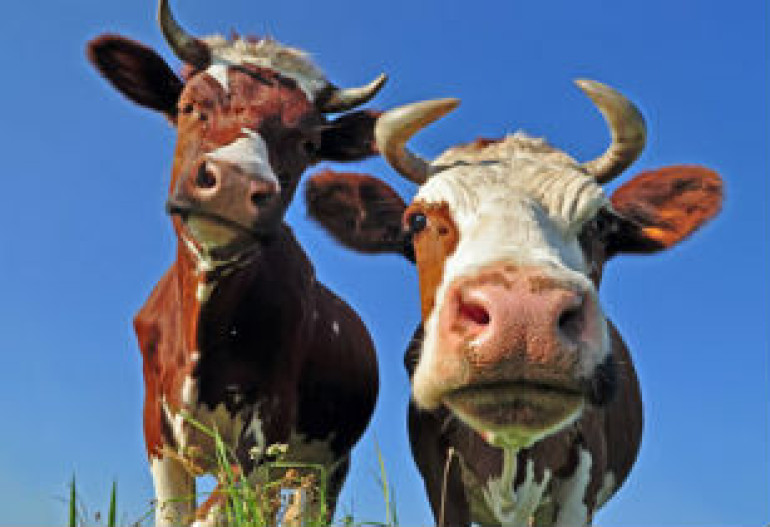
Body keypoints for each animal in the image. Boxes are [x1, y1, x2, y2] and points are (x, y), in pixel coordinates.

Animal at [86, 1, 383, 525]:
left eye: (309, 143)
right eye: (190, 105)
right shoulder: (157, 433)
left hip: (325, 467)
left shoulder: (267, 433)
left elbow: (215, 514)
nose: (233, 182)